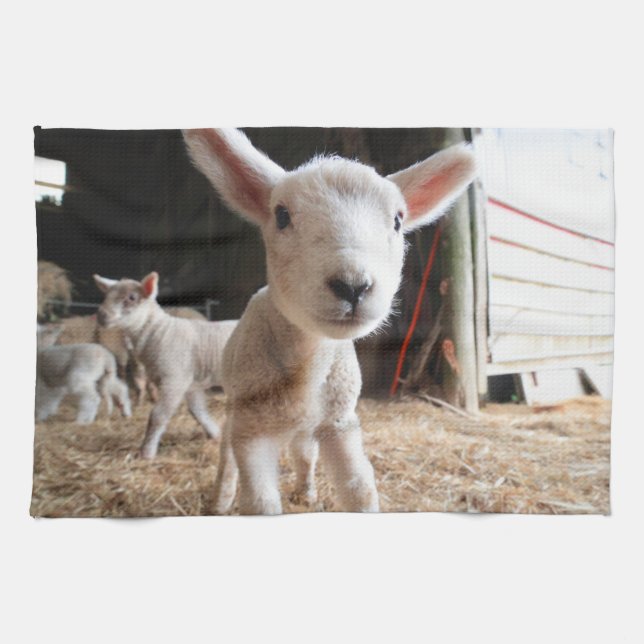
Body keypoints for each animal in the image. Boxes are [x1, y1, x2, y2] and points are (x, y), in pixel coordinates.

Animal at [93, 272, 237, 458]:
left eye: (131, 298)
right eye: (106, 295)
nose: (102, 315)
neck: (160, 332)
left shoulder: (175, 379)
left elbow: (158, 415)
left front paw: (147, 452)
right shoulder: (191, 383)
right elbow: (197, 411)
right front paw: (215, 434)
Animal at [183, 128, 476, 515]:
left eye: (398, 221)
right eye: (281, 215)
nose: (353, 286)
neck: (306, 366)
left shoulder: (340, 422)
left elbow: (359, 489)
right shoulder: (252, 431)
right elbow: (260, 501)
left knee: (304, 452)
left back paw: (305, 491)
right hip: (238, 408)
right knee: (226, 453)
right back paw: (220, 498)